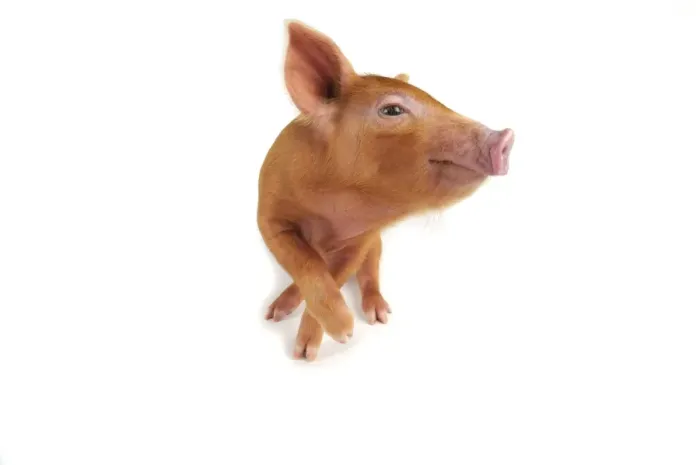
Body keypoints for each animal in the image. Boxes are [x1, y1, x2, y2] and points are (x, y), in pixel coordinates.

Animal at [257, 20, 515, 361]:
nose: (505, 136)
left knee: (370, 273)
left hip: (377, 248)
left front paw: (322, 345)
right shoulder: (269, 214)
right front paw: (334, 336)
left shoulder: (363, 239)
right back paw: (275, 313)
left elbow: (339, 273)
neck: (333, 211)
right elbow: (306, 264)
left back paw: (379, 315)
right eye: (392, 110)